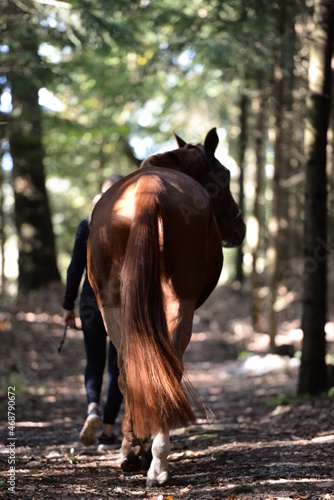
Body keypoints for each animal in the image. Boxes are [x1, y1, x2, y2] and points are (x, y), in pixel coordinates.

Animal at [87, 128, 247, 484]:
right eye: (225, 175)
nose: (240, 229)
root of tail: (150, 190)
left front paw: (135, 446)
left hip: (112, 306)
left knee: (128, 369)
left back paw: (133, 450)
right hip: (179, 303)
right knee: (169, 369)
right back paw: (158, 460)